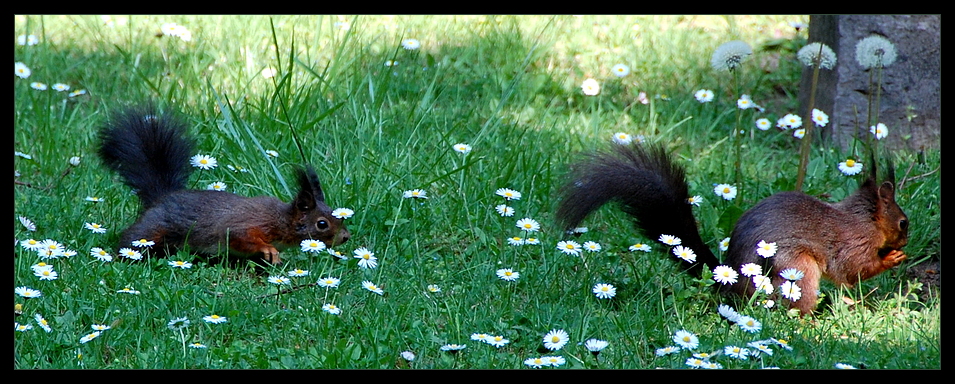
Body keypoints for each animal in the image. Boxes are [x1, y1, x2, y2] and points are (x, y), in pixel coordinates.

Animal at [97, 103, 350, 266]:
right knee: (133, 237)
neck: (282, 220)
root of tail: (162, 197)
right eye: (322, 224)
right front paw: (269, 250)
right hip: (153, 229)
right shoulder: (249, 225)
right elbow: (240, 236)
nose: (346, 237)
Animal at [560, 144, 912, 316]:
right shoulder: (853, 243)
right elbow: (853, 270)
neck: (862, 219)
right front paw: (893, 257)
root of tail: (729, 284)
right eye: (903, 222)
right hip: (796, 268)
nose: (908, 237)